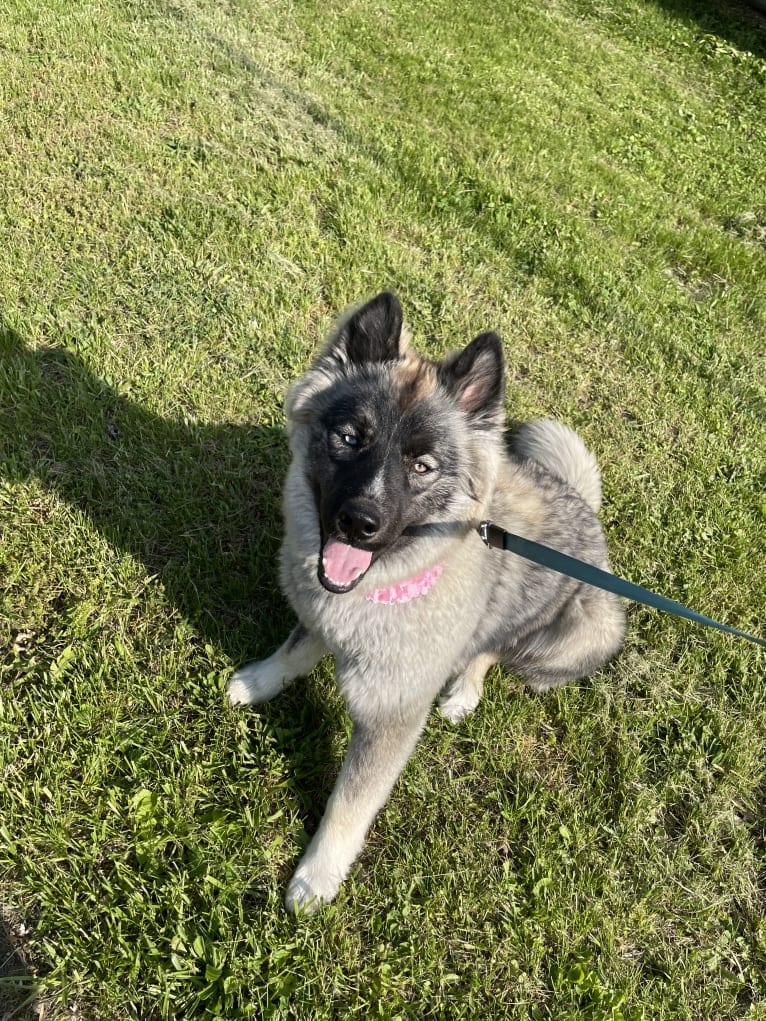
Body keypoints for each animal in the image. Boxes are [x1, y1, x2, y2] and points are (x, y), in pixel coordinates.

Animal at [226, 292, 625, 914]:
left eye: (422, 465)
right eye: (350, 438)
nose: (358, 522)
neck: (389, 582)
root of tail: (584, 505)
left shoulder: (389, 720)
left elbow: (348, 806)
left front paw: (316, 879)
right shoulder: (319, 614)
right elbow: (294, 648)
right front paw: (259, 681)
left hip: (581, 634)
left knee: (498, 648)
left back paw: (464, 691)